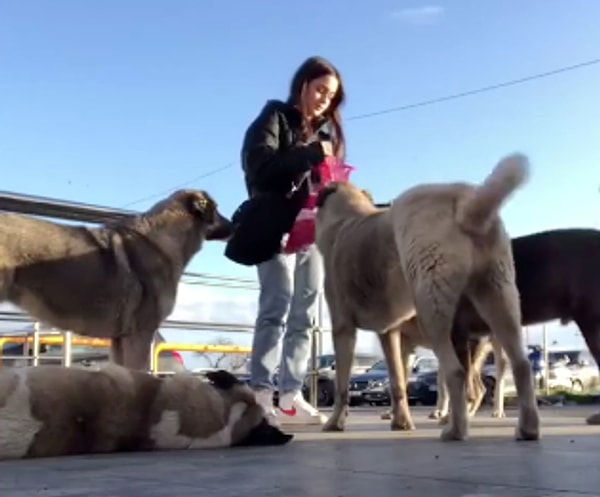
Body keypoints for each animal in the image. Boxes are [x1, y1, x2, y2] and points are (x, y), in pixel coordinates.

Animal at [314, 153, 540, 440]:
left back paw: (455, 429)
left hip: (431, 307)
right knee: (521, 365)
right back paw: (527, 428)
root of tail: (464, 202)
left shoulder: (343, 328)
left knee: (456, 373)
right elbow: (397, 381)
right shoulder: (390, 334)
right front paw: (401, 422)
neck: (347, 218)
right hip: (500, 297)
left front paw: (335, 422)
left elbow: (342, 384)